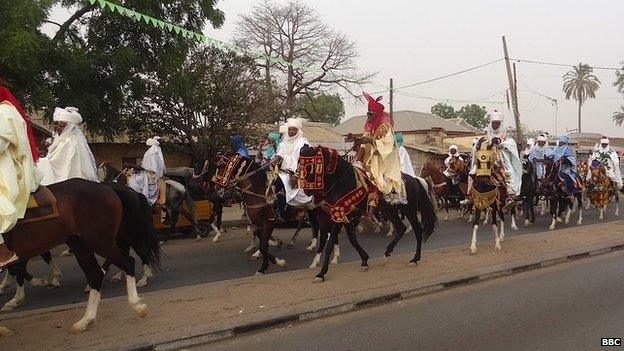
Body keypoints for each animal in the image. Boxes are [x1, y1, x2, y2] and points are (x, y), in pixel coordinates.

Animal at [2, 180, 152, 332]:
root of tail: (109, 187)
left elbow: (19, 268)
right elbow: (20, 267)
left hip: (100, 240)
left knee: (129, 260)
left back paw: (138, 300)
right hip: (82, 243)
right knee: (97, 273)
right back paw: (86, 319)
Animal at [298, 146, 436, 284]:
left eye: (311, 166)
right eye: (299, 164)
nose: (307, 191)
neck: (342, 182)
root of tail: (415, 179)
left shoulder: (338, 216)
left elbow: (330, 243)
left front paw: (321, 273)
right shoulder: (344, 217)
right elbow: (351, 239)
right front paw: (364, 260)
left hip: (409, 209)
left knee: (417, 229)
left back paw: (415, 259)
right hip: (391, 211)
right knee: (401, 228)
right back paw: (388, 251)